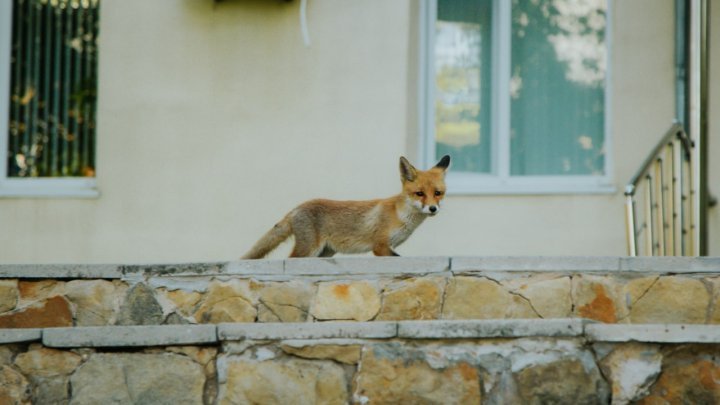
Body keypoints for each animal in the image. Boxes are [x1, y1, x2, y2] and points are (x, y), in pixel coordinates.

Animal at [242, 155, 450, 258]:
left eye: (438, 193)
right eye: (420, 194)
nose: (433, 209)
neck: (400, 215)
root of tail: (296, 208)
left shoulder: (389, 247)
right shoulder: (380, 246)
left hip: (324, 253)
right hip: (308, 250)